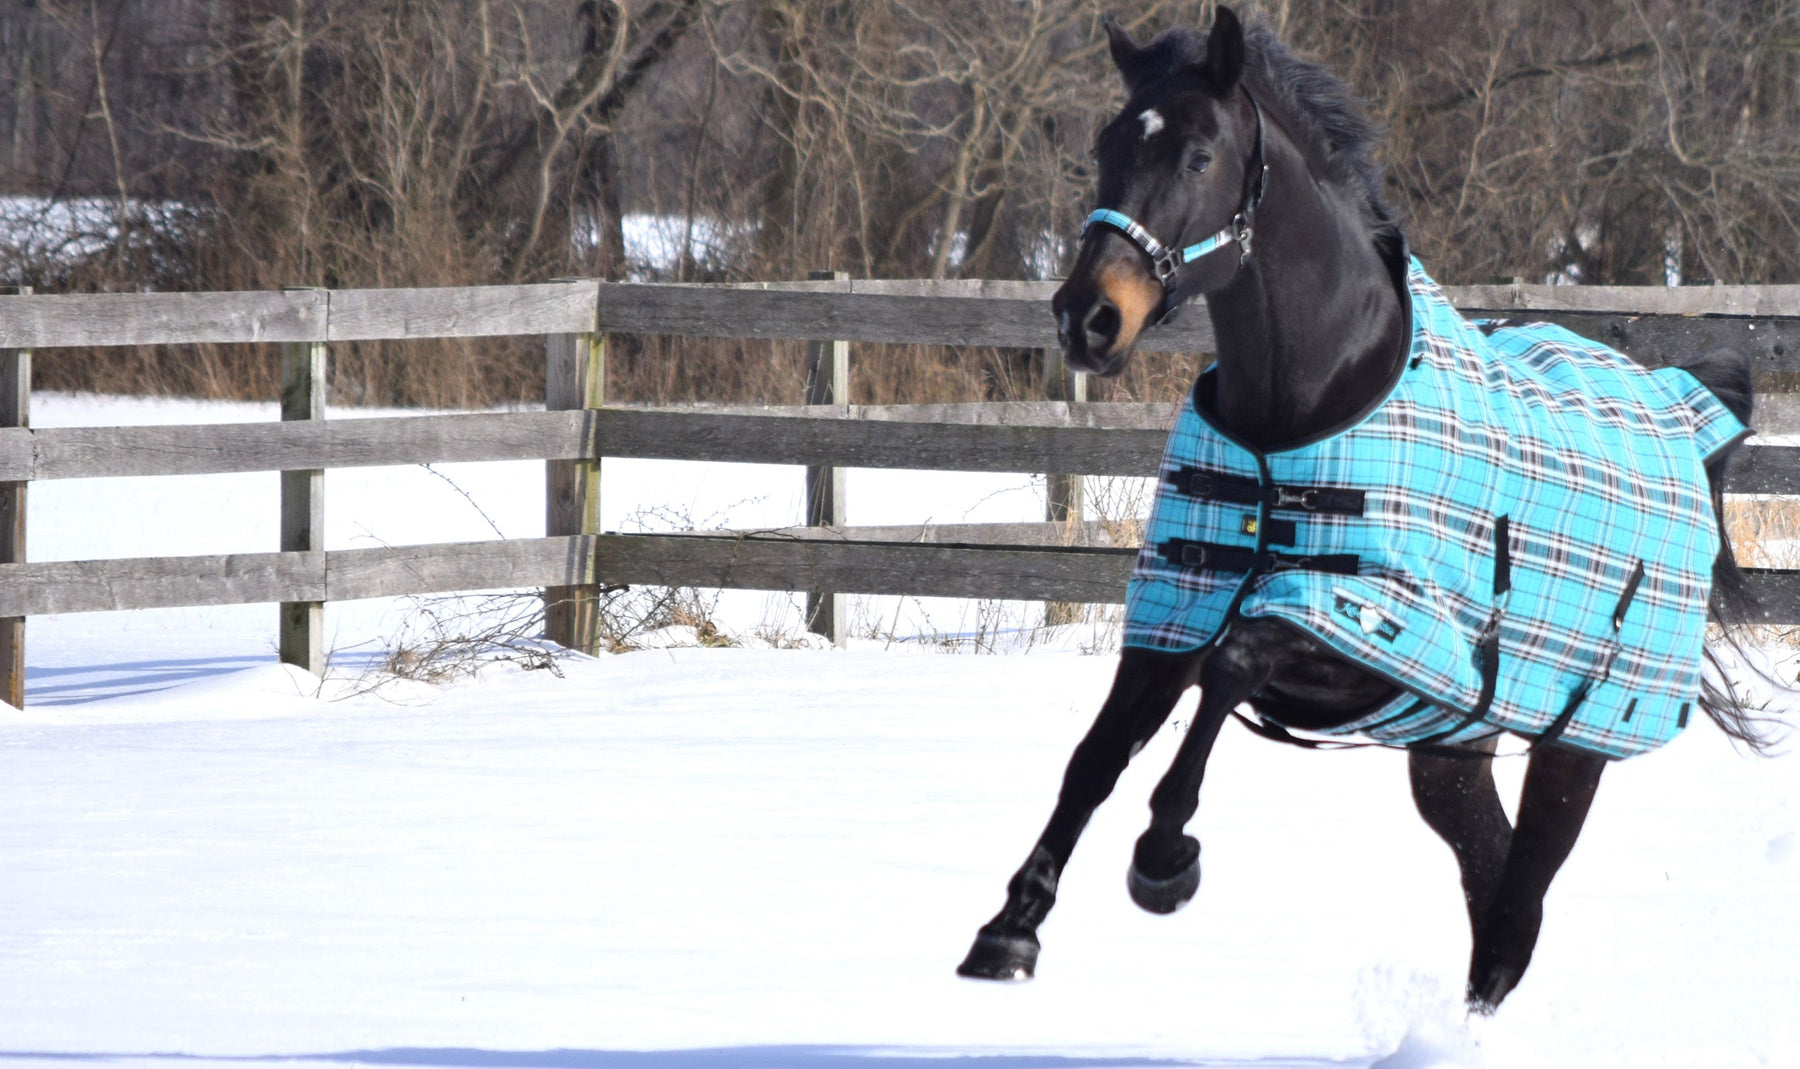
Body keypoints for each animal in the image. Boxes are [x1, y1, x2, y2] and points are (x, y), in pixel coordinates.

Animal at [957, 6, 1771, 1007]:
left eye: (1197, 155)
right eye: (1106, 147)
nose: (1086, 318)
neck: (1301, 415)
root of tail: (1684, 417)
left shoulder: (1354, 629)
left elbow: (1231, 665)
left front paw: (1164, 859)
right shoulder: (1173, 613)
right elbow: (1096, 756)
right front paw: (1008, 930)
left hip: (1571, 750)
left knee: (1517, 906)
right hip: (1449, 753)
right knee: (1496, 893)